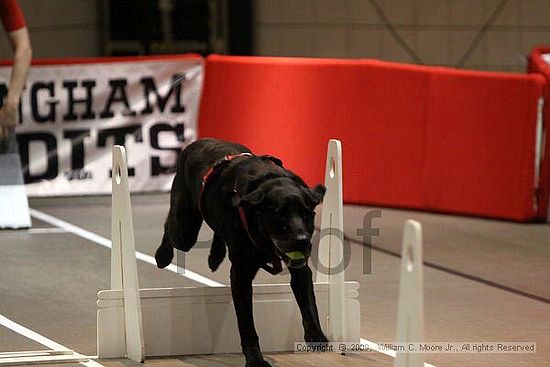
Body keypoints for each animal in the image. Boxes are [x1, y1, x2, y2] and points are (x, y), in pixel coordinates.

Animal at [155, 139, 328, 367]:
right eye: (280, 216)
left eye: (307, 214)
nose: (302, 240)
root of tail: (196, 142)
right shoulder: (241, 275)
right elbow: (246, 323)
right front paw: (255, 359)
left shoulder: (300, 270)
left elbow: (309, 301)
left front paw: (316, 335)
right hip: (185, 230)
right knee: (170, 227)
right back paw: (162, 255)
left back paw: (215, 257)